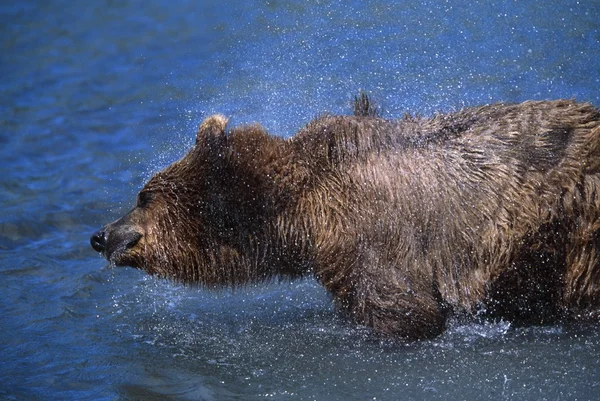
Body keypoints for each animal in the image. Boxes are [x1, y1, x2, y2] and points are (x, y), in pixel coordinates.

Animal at [90, 95, 600, 340]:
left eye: (142, 195)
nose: (101, 234)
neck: (300, 215)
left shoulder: (371, 239)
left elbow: (405, 311)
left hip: (575, 226)